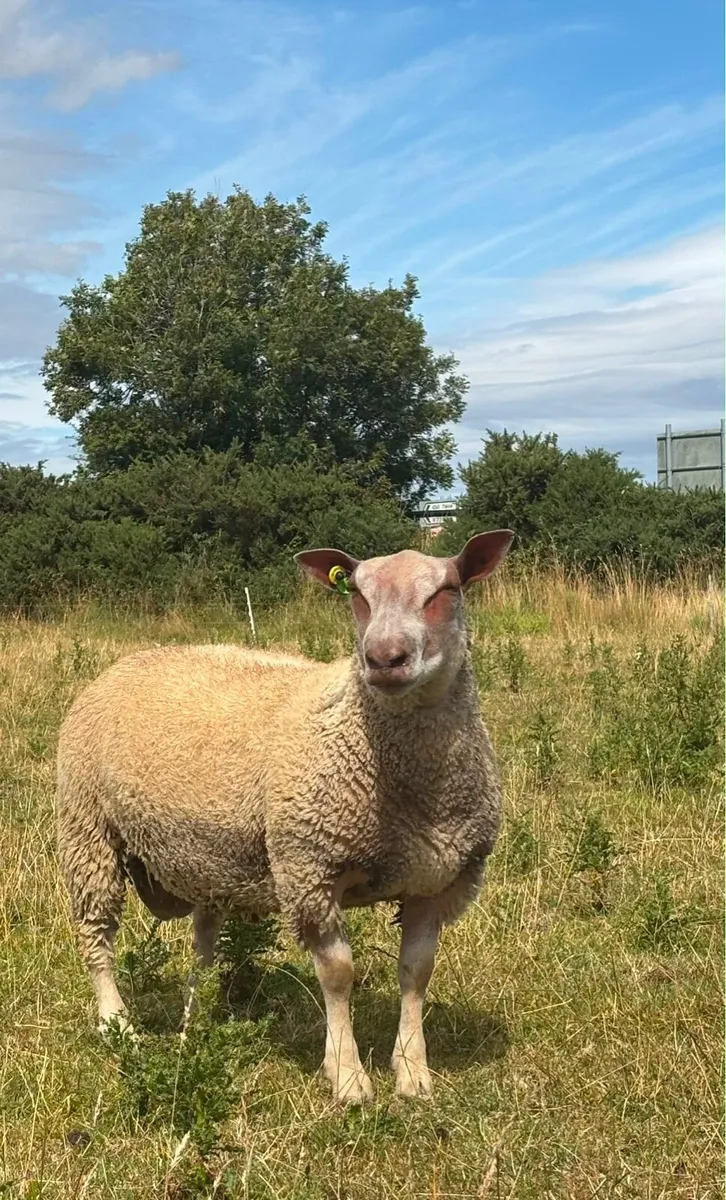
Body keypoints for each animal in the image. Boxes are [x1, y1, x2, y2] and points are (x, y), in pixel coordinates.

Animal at [56, 529, 514, 1103]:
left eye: (446, 590)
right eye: (356, 594)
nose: (383, 658)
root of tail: (128, 660)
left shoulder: (438, 880)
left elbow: (416, 972)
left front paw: (412, 1072)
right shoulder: (309, 869)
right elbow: (338, 974)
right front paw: (347, 1077)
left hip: (206, 857)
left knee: (202, 944)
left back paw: (193, 1023)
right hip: (87, 829)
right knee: (96, 935)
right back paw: (117, 1025)